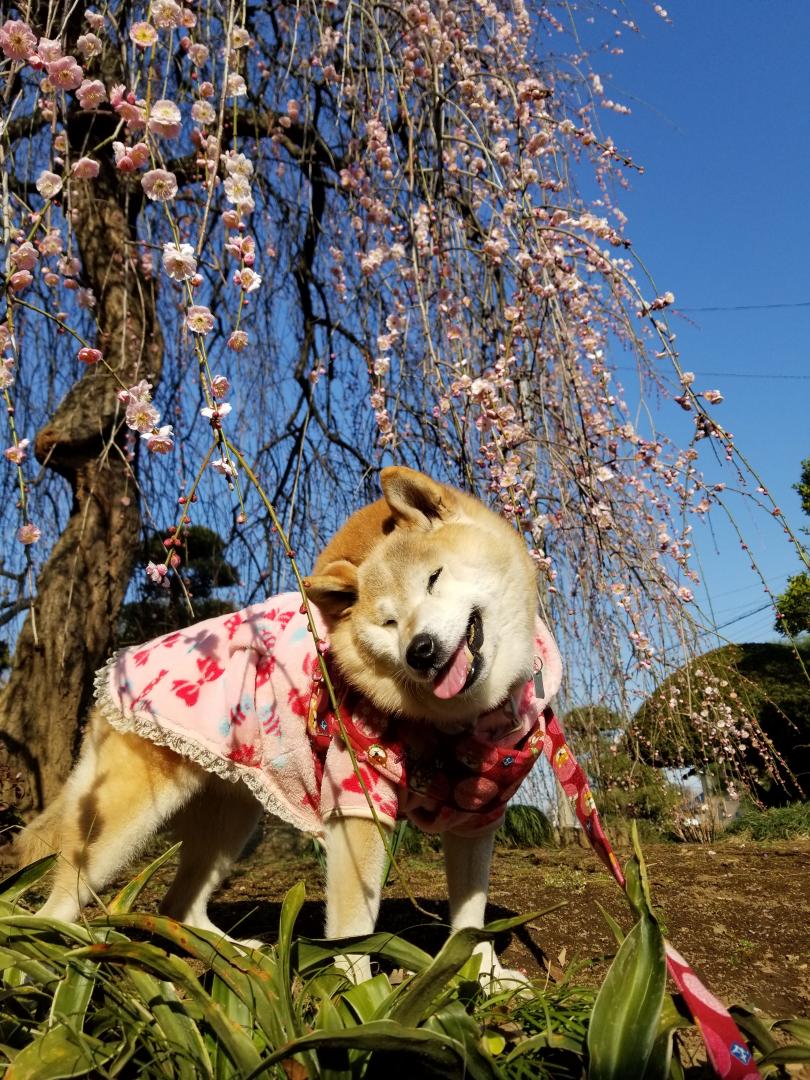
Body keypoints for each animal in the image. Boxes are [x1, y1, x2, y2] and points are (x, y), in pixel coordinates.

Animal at [19, 468, 565, 984]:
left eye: (434, 578)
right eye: (388, 623)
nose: (421, 650)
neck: (458, 723)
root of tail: (115, 673)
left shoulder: (478, 817)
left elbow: (471, 915)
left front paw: (484, 974)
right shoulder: (356, 804)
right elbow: (353, 927)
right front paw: (360, 995)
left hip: (231, 819)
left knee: (179, 904)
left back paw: (235, 956)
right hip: (122, 821)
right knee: (61, 899)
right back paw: (54, 964)